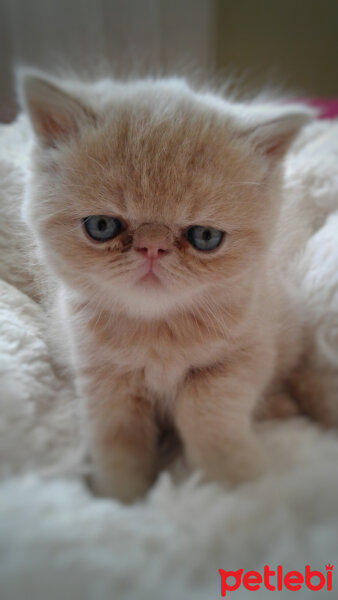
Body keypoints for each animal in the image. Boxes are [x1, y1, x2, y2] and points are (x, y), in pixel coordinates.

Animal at [19, 70, 314, 502]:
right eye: (101, 226)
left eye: (205, 237)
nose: (152, 247)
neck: (157, 335)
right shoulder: (102, 378)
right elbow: (117, 438)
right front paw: (120, 497)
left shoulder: (246, 355)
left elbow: (207, 413)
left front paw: (235, 481)